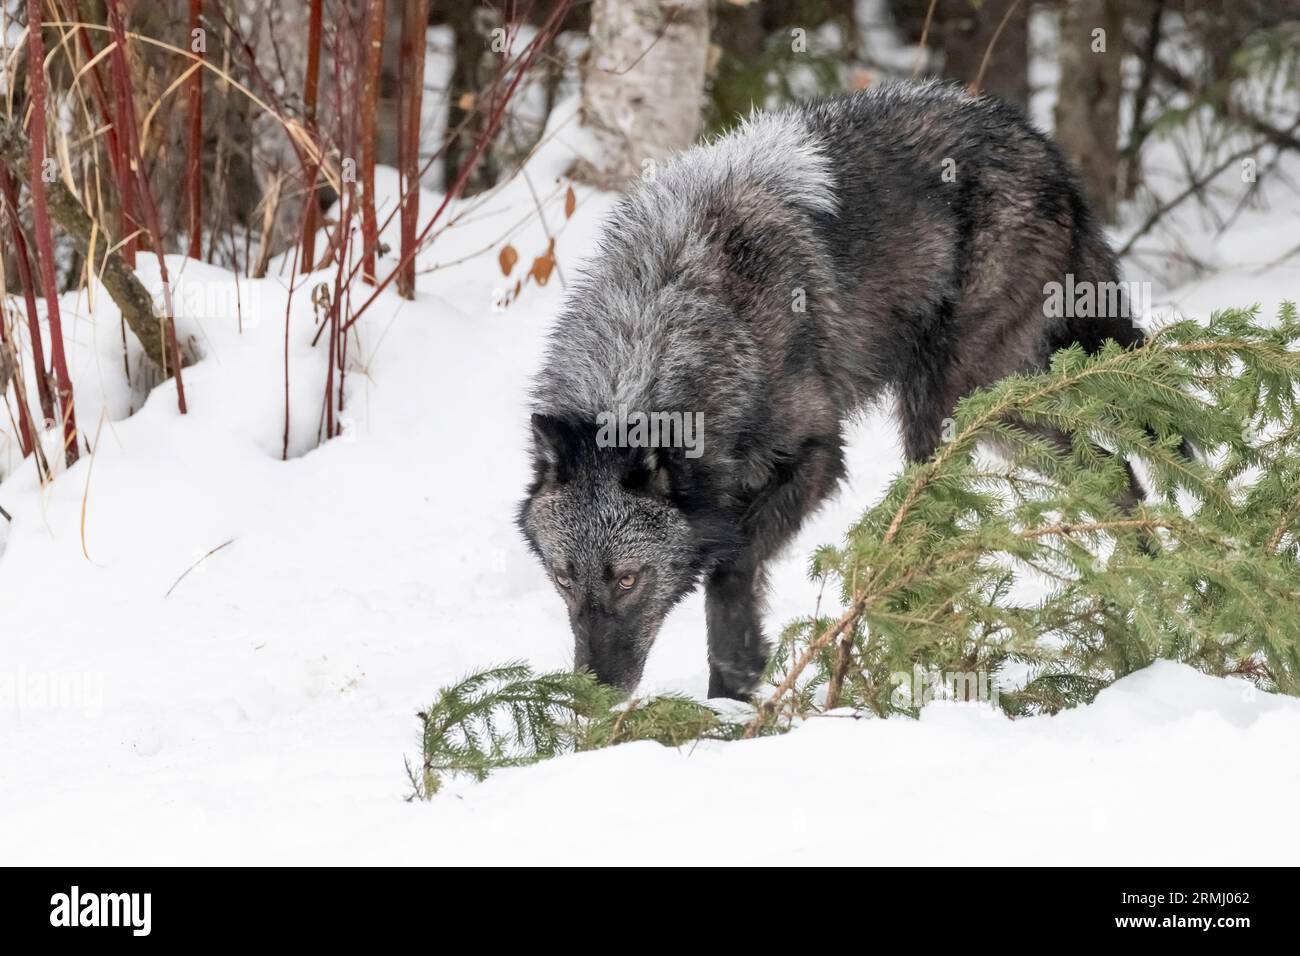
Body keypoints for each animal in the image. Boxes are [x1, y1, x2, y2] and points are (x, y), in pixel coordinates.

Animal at [518, 81, 1147, 699]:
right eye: (563, 578)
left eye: (628, 580)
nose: (594, 697)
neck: (674, 310)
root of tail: (1044, 150)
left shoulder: (817, 454)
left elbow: (731, 564)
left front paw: (734, 682)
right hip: (987, 410)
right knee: (1113, 470)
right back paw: (1150, 581)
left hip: (943, 408)